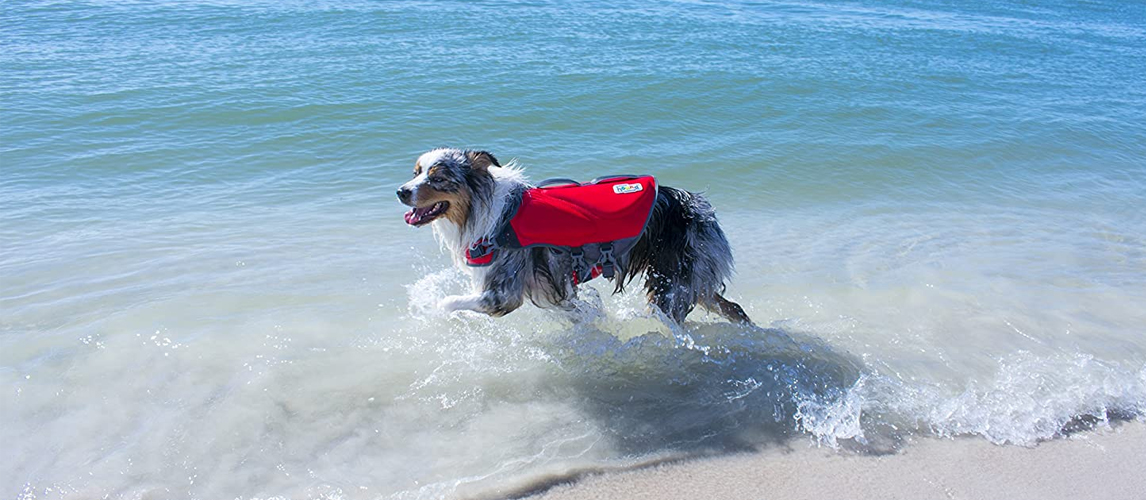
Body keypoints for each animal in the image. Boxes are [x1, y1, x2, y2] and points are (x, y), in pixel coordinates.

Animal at [394, 146, 751, 323]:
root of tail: (699, 207)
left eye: (438, 177)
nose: (400, 191)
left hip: (672, 284)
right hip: (692, 280)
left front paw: (431, 311)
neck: (482, 208)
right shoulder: (552, 291)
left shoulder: (503, 293)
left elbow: (448, 301)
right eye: (416, 173)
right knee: (733, 308)